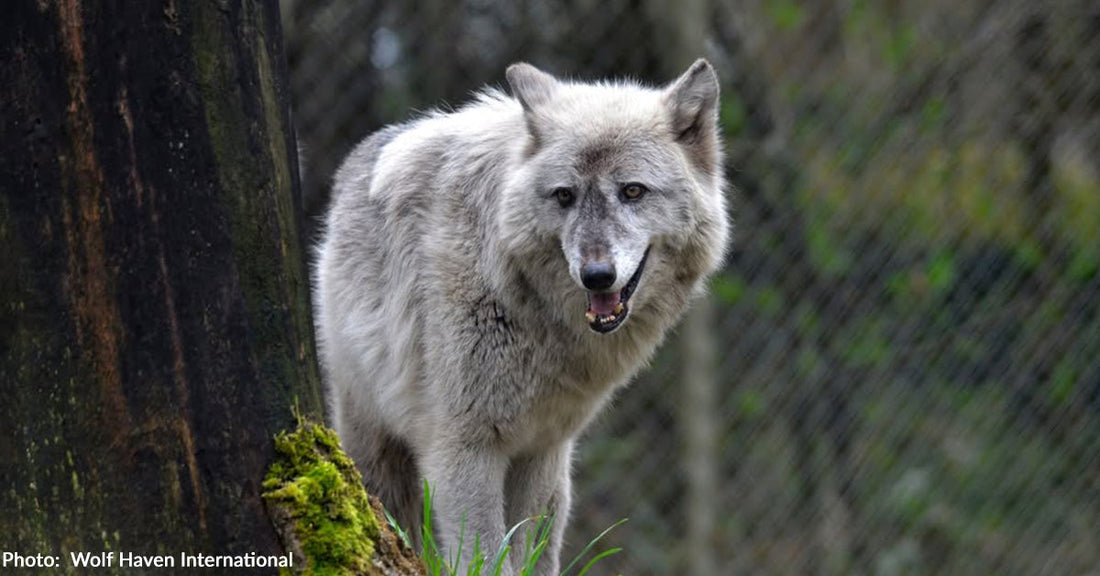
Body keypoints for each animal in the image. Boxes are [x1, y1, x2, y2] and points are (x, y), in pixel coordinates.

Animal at [315, 59, 730, 575]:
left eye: (633, 191)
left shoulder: (542, 448)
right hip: (372, 445)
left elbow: (526, 550)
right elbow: (487, 556)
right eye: (564, 196)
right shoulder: (462, 449)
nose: (596, 276)